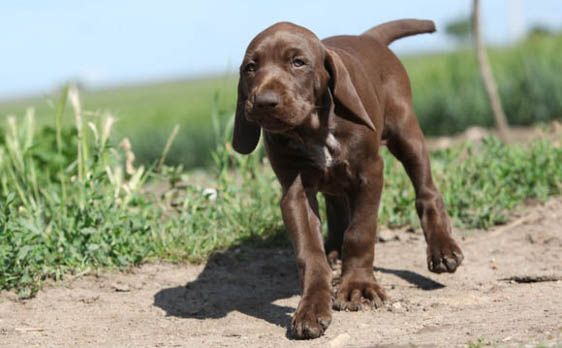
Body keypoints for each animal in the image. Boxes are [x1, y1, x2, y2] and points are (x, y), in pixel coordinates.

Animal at [230, 19, 462, 340]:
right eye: (250, 67)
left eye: (298, 62)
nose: (264, 102)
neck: (315, 127)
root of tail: (368, 38)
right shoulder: (295, 192)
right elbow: (309, 251)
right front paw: (312, 306)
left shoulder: (370, 173)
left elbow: (361, 231)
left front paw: (358, 287)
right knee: (337, 206)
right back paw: (333, 250)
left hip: (405, 131)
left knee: (426, 190)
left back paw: (442, 249)